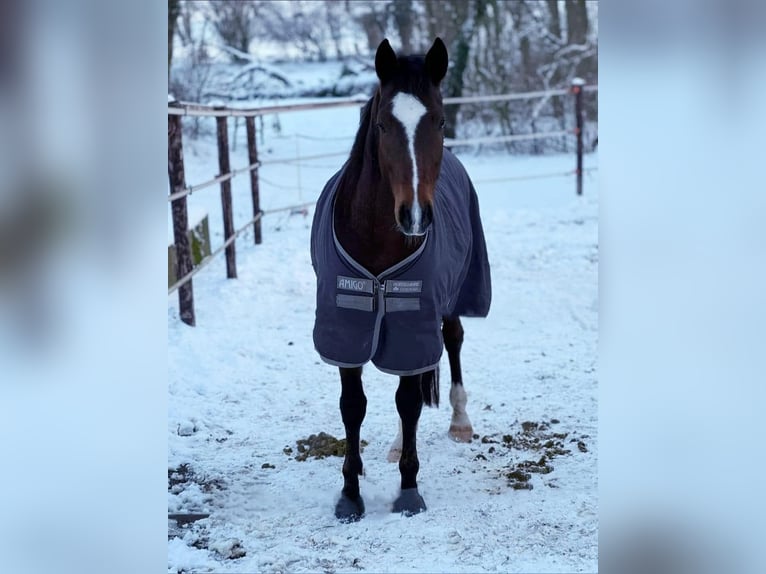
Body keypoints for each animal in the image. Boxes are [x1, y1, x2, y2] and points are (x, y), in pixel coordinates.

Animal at [310, 36, 492, 520]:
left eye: (440, 120)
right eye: (382, 126)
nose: (414, 216)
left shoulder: (415, 314)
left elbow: (409, 401)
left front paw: (408, 491)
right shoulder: (346, 325)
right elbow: (353, 406)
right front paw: (350, 492)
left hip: (450, 296)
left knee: (452, 342)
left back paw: (460, 421)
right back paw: (392, 446)